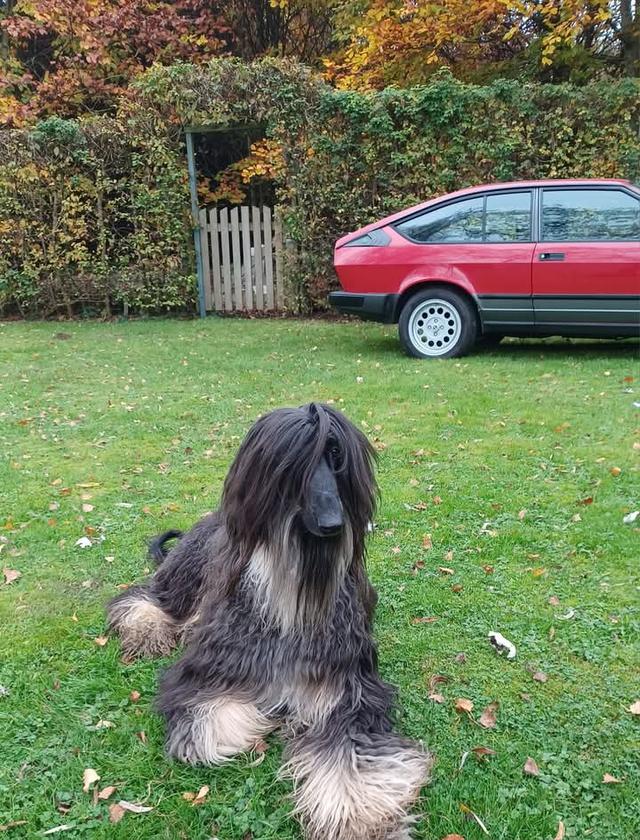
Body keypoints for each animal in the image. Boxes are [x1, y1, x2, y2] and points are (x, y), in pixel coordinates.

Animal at [107, 404, 432, 836]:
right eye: (297, 462)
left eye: (337, 457)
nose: (334, 524)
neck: (293, 591)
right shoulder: (208, 671)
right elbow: (213, 726)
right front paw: (269, 718)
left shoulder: (348, 689)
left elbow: (348, 748)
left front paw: (359, 817)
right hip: (184, 578)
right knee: (144, 596)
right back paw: (147, 627)